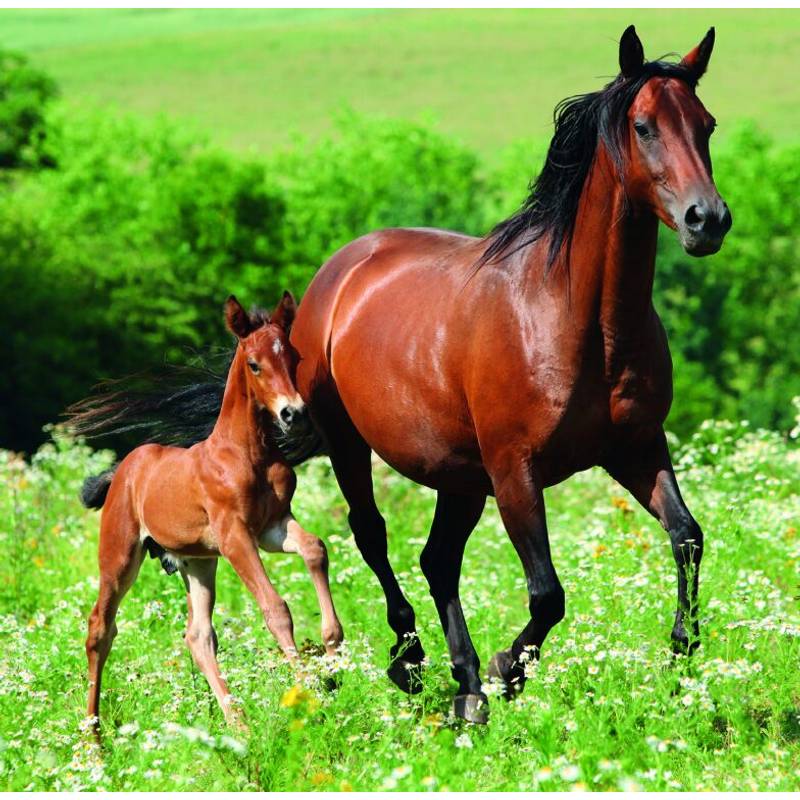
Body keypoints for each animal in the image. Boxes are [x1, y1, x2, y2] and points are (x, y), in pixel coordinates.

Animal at [76, 294, 344, 735]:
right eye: (254, 364)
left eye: (293, 357)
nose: (294, 414)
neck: (246, 453)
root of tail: (124, 470)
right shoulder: (235, 536)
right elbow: (275, 608)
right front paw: (309, 692)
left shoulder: (272, 527)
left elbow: (315, 549)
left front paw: (334, 651)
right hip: (119, 555)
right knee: (100, 627)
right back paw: (94, 737)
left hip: (198, 562)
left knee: (198, 635)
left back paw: (237, 721)